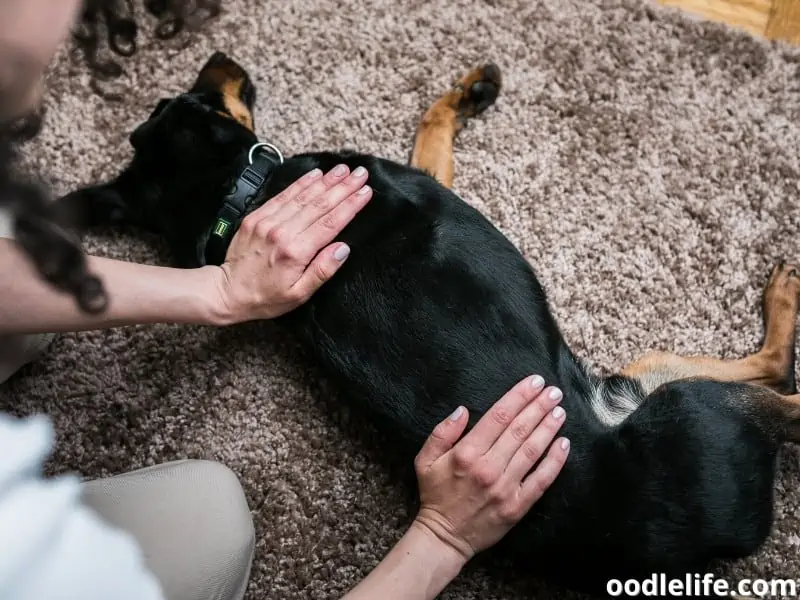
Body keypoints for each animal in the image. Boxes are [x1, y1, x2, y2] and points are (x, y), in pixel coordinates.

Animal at [59, 51, 800, 596]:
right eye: (196, 99)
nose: (217, 55)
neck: (241, 197)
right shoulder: (419, 176)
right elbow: (432, 121)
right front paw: (471, 92)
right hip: (697, 406)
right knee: (780, 383)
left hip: (640, 377)